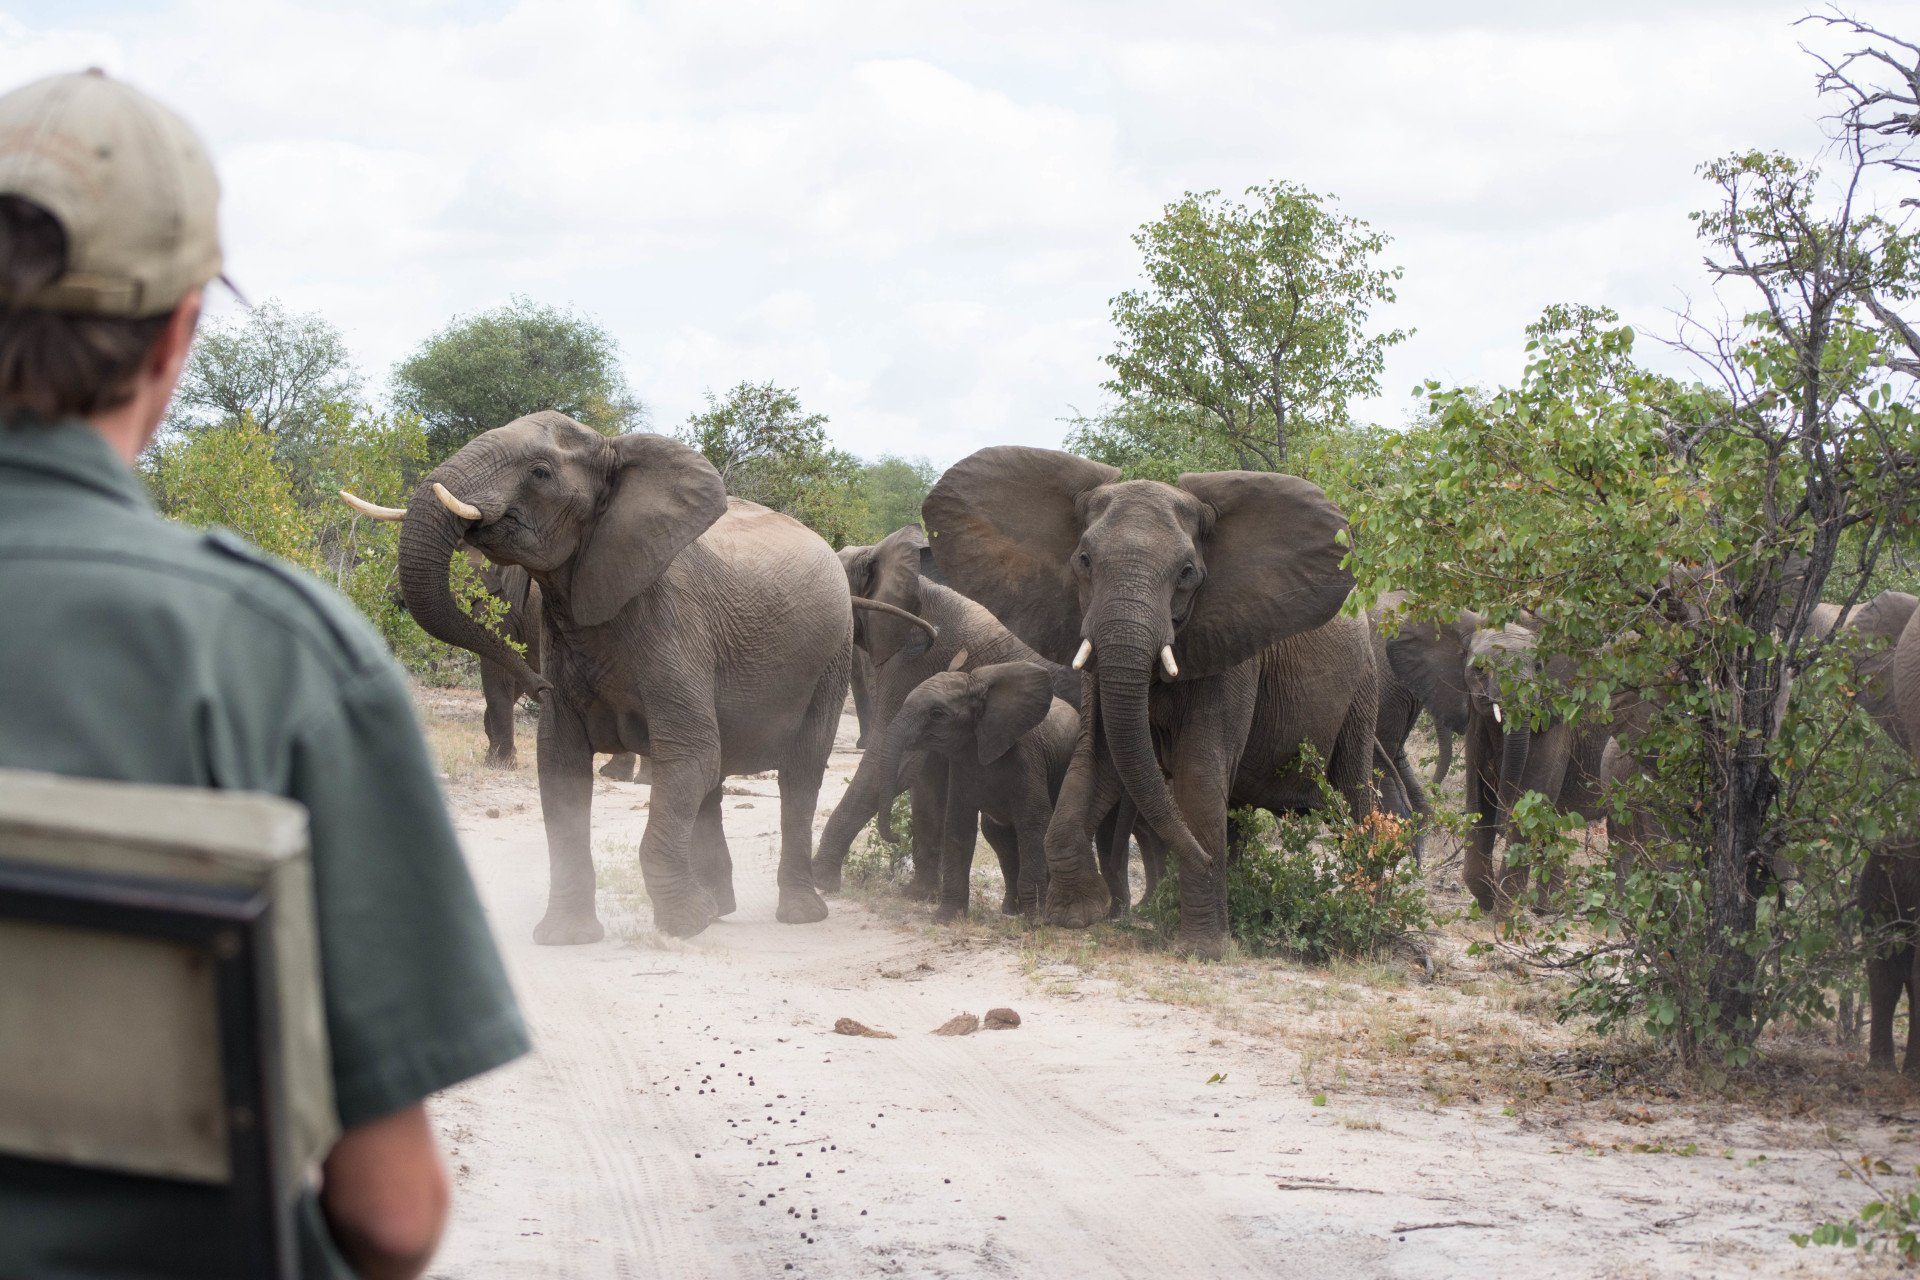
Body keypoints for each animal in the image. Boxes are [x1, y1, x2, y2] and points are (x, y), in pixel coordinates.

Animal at [344, 410, 856, 943]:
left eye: (540, 473)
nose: (540, 685)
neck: (614, 451)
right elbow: (561, 764)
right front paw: (567, 938)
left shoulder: (676, 625)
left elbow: (689, 753)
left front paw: (682, 926)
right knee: (714, 780)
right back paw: (718, 908)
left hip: (833, 656)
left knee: (799, 774)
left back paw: (796, 914)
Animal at [870, 660, 1078, 921]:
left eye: (937, 714)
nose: (896, 836)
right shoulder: (962, 763)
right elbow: (958, 825)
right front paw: (945, 918)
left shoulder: (1029, 760)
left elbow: (1035, 823)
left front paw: (1036, 921)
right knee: (998, 837)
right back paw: (1010, 910)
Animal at [922, 447, 1365, 958]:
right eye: (1084, 560)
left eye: (1187, 573)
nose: (1205, 860)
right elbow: (1096, 760)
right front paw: (1078, 915)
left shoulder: (1231, 648)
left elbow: (1199, 772)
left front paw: (1203, 949)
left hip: (1366, 687)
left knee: (1361, 791)